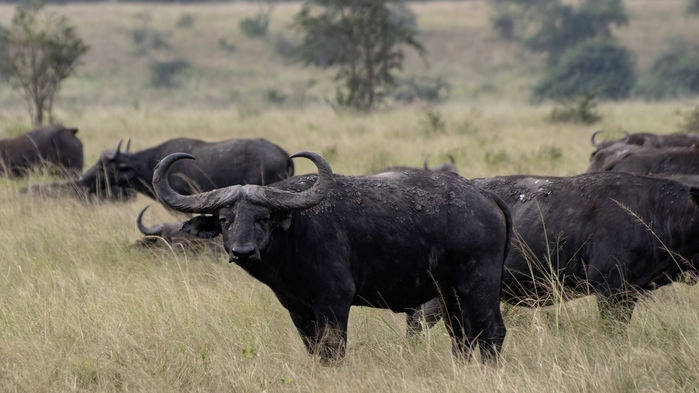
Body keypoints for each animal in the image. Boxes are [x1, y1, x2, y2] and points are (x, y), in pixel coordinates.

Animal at [153, 149, 512, 362]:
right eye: (226, 219)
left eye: (263, 218)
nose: (243, 251)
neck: (295, 235)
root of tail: (485, 197)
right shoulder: (298, 309)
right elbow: (315, 351)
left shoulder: (335, 303)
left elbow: (333, 350)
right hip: (448, 294)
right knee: (462, 337)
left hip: (478, 285)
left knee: (492, 332)